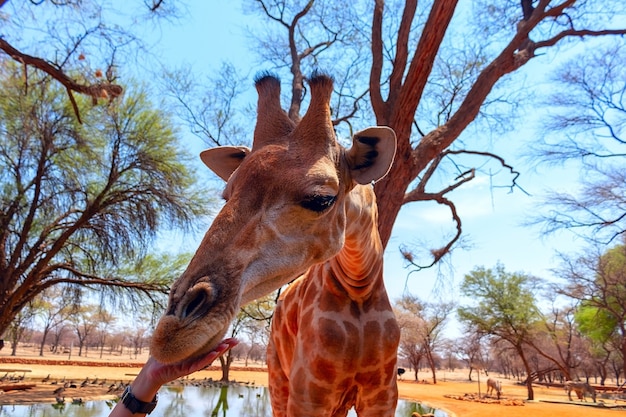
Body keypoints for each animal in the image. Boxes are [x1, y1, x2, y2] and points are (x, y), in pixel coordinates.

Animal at [149, 73, 398, 414]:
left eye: (321, 199)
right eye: (227, 195)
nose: (170, 333)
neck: (360, 286)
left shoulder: (383, 396)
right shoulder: (307, 394)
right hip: (278, 381)